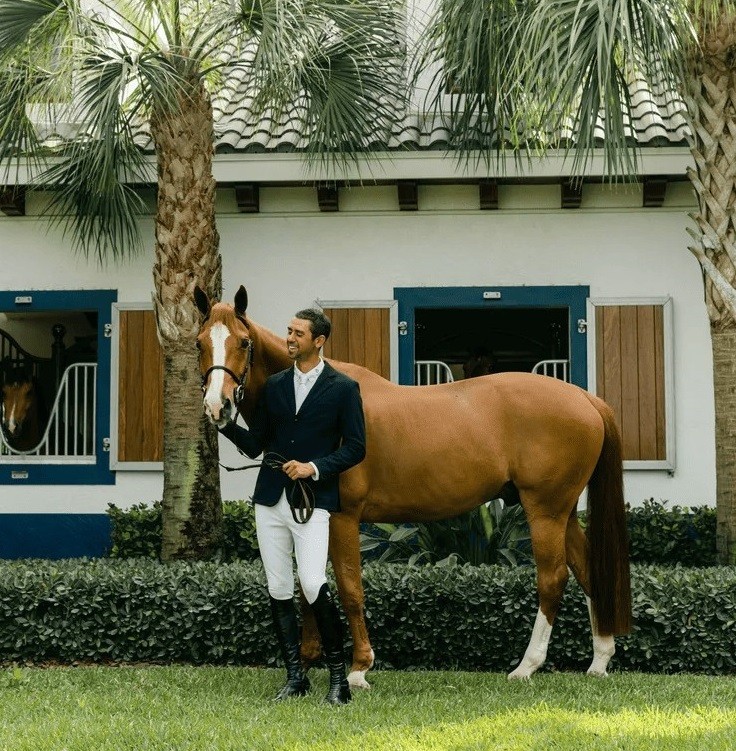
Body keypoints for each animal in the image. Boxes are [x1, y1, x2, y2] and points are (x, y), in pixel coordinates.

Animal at [196, 286, 632, 688]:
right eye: (200, 342)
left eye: (244, 342)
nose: (218, 407)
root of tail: (586, 400)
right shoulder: (308, 512)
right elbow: (308, 586)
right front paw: (306, 660)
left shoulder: (342, 517)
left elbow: (350, 588)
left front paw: (359, 668)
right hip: (563, 512)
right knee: (587, 570)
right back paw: (599, 660)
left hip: (545, 510)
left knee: (553, 578)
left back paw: (527, 666)